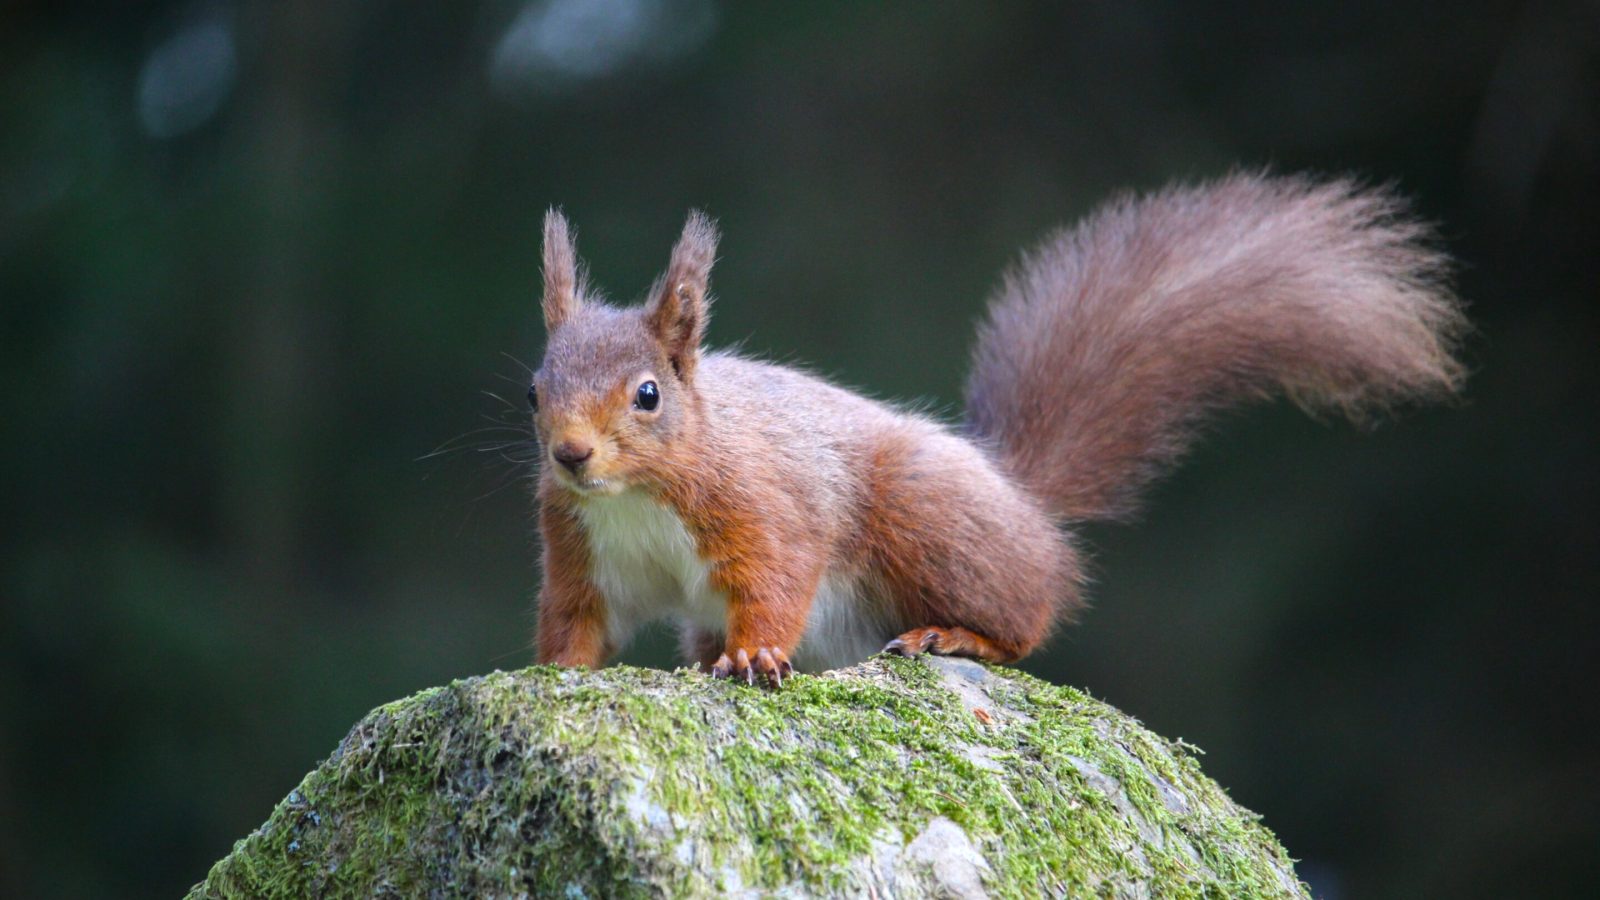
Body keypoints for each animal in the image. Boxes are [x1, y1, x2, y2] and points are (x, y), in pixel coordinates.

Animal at [525, 173, 1468, 687]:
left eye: (648, 395)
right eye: (535, 388)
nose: (571, 455)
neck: (634, 497)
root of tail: (1019, 499)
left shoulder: (764, 506)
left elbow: (778, 577)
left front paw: (756, 656)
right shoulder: (580, 553)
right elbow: (576, 622)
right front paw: (556, 671)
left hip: (928, 519)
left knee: (1028, 617)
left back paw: (954, 634)